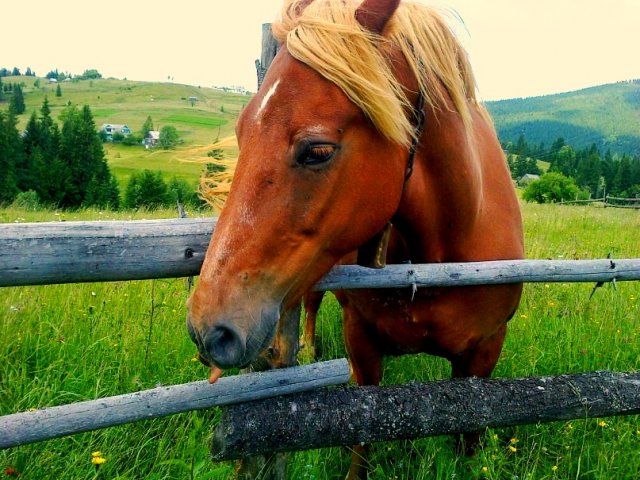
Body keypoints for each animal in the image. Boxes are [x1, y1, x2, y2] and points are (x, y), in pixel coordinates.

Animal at [188, 0, 524, 474]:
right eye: (241, 133)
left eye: (318, 150)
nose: (208, 330)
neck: (439, 263)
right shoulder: (362, 342)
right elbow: (361, 436)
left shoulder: (484, 356)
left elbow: (467, 442)